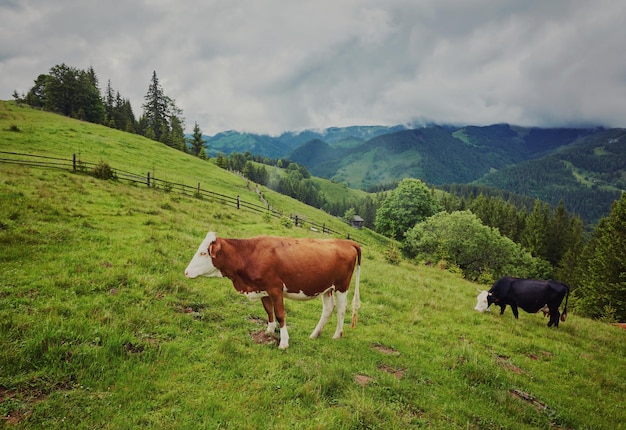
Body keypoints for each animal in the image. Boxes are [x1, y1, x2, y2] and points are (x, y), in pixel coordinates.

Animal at [184, 232, 360, 350]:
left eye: (203, 253)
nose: (186, 272)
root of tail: (346, 242)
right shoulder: (262, 289)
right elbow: (268, 310)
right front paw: (268, 331)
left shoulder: (275, 289)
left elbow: (280, 314)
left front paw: (284, 342)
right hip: (326, 288)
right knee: (328, 308)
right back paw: (315, 334)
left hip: (342, 286)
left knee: (341, 310)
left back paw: (337, 335)